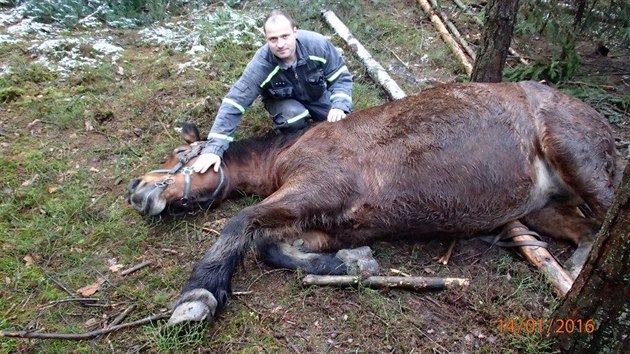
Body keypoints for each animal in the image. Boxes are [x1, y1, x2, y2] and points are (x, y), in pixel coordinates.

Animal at [127, 81, 616, 324]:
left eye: (178, 154)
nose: (136, 188)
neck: (290, 150)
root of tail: (596, 114)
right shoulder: (329, 222)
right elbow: (270, 247)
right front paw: (352, 262)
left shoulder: (317, 189)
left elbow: (242, 223)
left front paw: (199, 294)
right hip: (540, 208)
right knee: (588, 231)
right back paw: (575, 272)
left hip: (581, 165)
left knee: (607, 215)